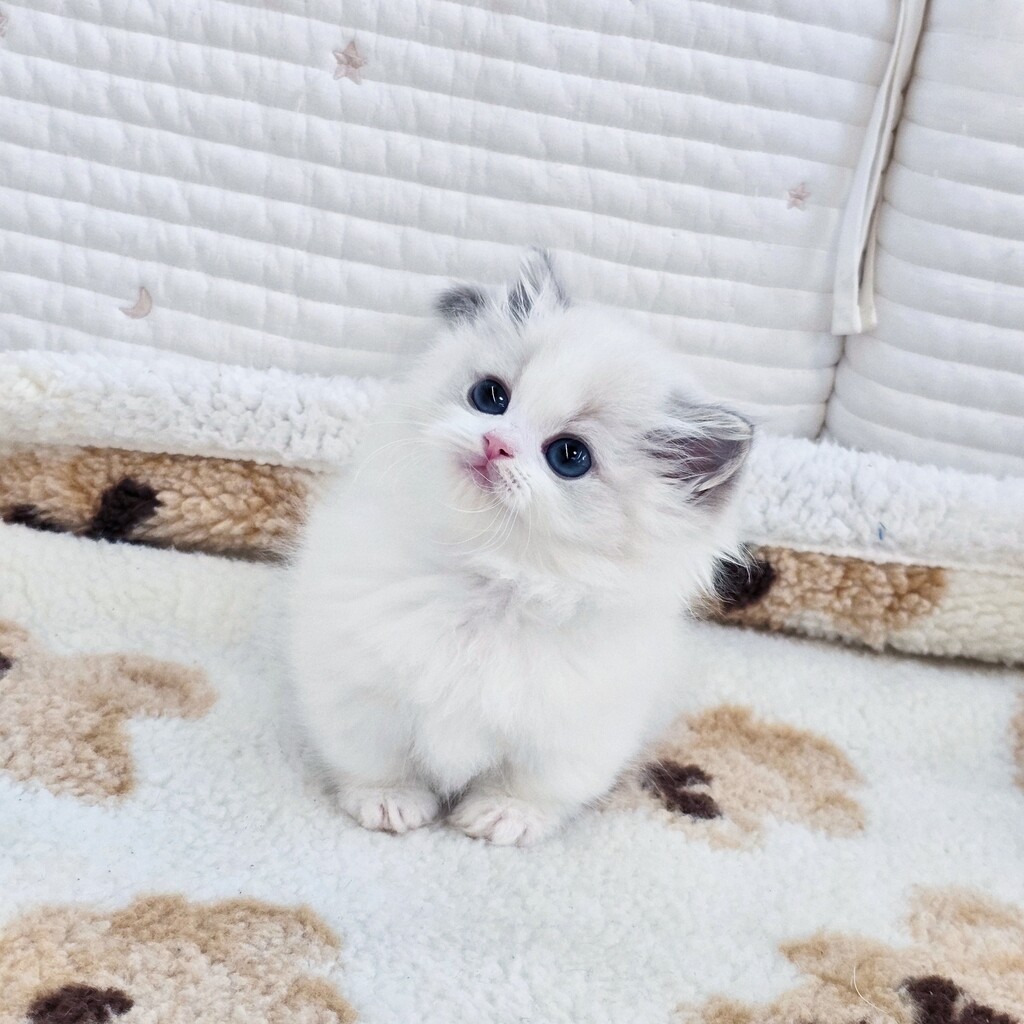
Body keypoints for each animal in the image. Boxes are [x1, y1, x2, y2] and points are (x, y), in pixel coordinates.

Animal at [287, 250, 752, 846]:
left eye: (570, 456)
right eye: (491, 397)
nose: (495, 443)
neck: (490, 581)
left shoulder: (572, 734)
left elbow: (534, 785)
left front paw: (502, 817)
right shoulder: (357, 685)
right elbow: (375, 758)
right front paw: (390, 802)